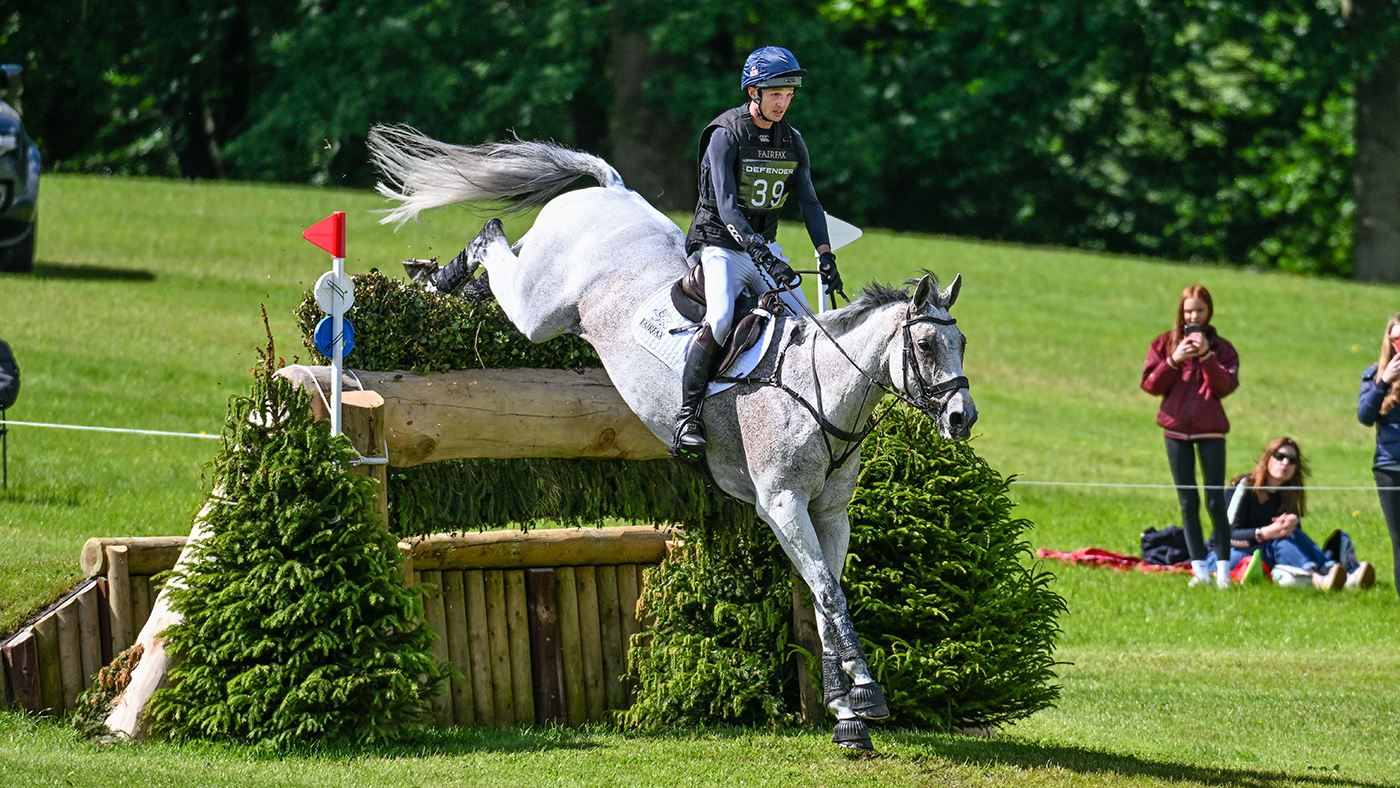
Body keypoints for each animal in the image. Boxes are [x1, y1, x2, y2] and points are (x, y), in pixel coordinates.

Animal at [369, 125, 978, 749]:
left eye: (961, 345)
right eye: (925, 346)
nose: (962, 418)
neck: (819, 390)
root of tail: (611, 189)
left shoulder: (828, 512)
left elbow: (825, 593)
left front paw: (845, 707)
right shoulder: (782, 504)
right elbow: (828, 593)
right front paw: (865, 698)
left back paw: (449, 287)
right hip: (542, 309)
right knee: (494, 242)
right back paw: (435, 278)